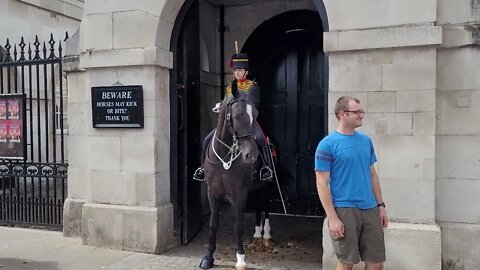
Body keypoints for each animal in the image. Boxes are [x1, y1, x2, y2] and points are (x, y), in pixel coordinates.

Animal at [199, 85, 272, 268]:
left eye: (256, 114)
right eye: (237, 115)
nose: (251, 155)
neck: (225, 156)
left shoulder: (239, 193)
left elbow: (238, 226)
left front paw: (240, 259)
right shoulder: (213, 192)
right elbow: (213, 224)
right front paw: (208, 257)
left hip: (267, 185)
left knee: (266, 206)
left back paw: (266, 235)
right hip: (254, 187)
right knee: (258, 206)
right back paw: (257, 234)